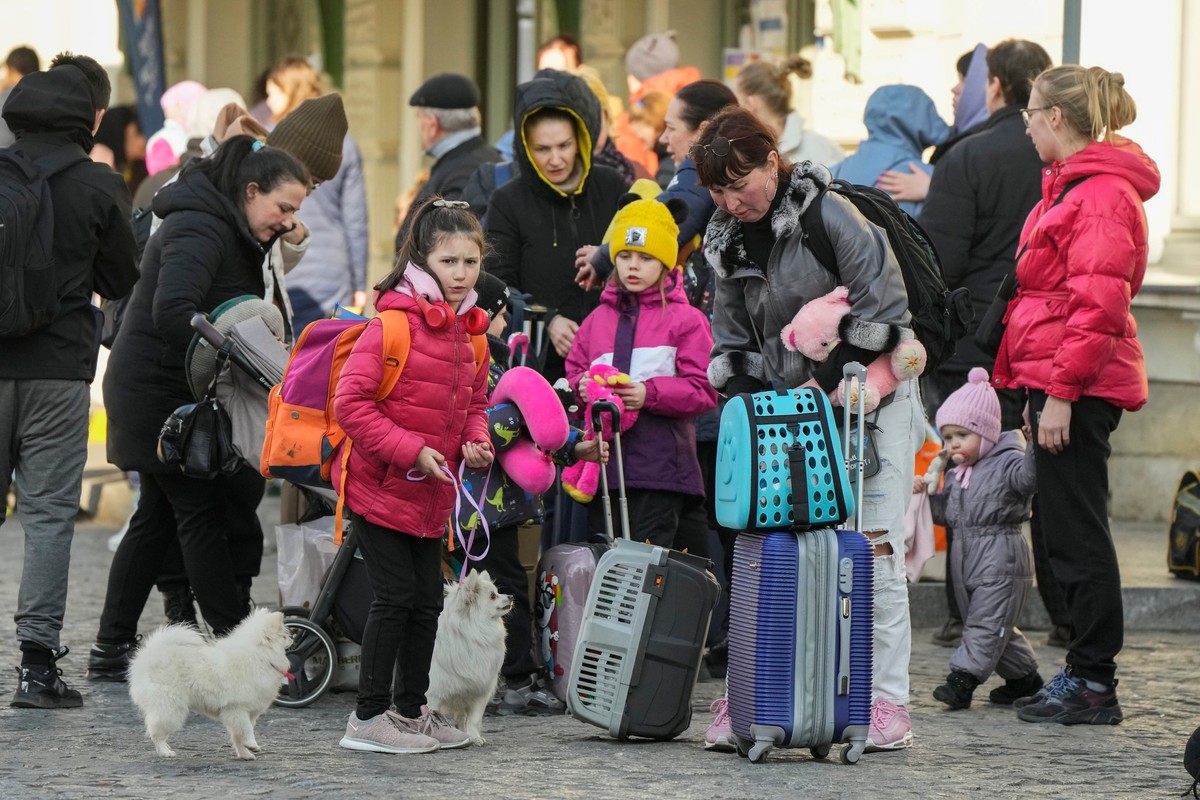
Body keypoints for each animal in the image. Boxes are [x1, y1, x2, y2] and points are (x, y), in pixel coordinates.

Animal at [128, 609, 292, 762]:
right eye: (284, 635)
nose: (292, 638)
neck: (260, 656)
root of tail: (149, 657)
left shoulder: (249, 712)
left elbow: (239, 735)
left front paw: (245, 753)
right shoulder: (237, 709)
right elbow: (246, 729)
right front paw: (252, 744)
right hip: (170, 709)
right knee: (156, 733)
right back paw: (165, 752)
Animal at [427, 568, 511, 743]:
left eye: (498, 592)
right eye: (493, 596)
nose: (511, 597)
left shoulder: (479, 691)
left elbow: (473, 719)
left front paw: (474, 737)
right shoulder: (433, 694)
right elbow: (430, 714)